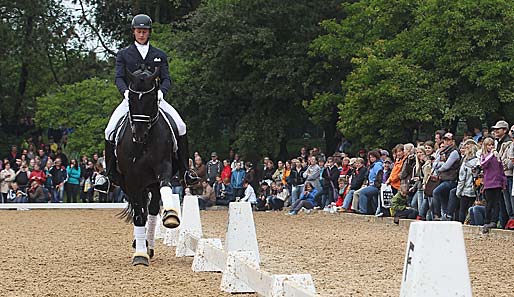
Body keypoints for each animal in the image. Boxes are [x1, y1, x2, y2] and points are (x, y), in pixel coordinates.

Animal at [114, 67, 180, 266]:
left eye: (152, 99)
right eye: (131, 99)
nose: (139, 134)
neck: (144, 144)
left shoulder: (162, 168)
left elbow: (165, 186)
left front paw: (171, 215)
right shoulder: (131, 180)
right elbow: (138, 214)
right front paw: (140, 255)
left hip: (150, 184)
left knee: (151, 211)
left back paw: (148, 245)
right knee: (142, 211)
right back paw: (141, 244)